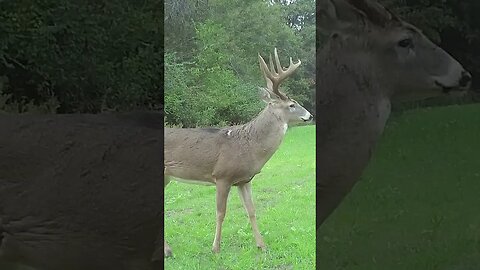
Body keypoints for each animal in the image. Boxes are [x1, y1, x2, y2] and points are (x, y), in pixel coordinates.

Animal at [164, 48, 316, 258]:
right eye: (292, 105)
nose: (310, 115)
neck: (249, 147)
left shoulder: (244, 180)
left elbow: (251, 210)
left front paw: (261, 245)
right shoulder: (222, 176)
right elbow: (221, 213)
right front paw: (216, 248)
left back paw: (167, 250)